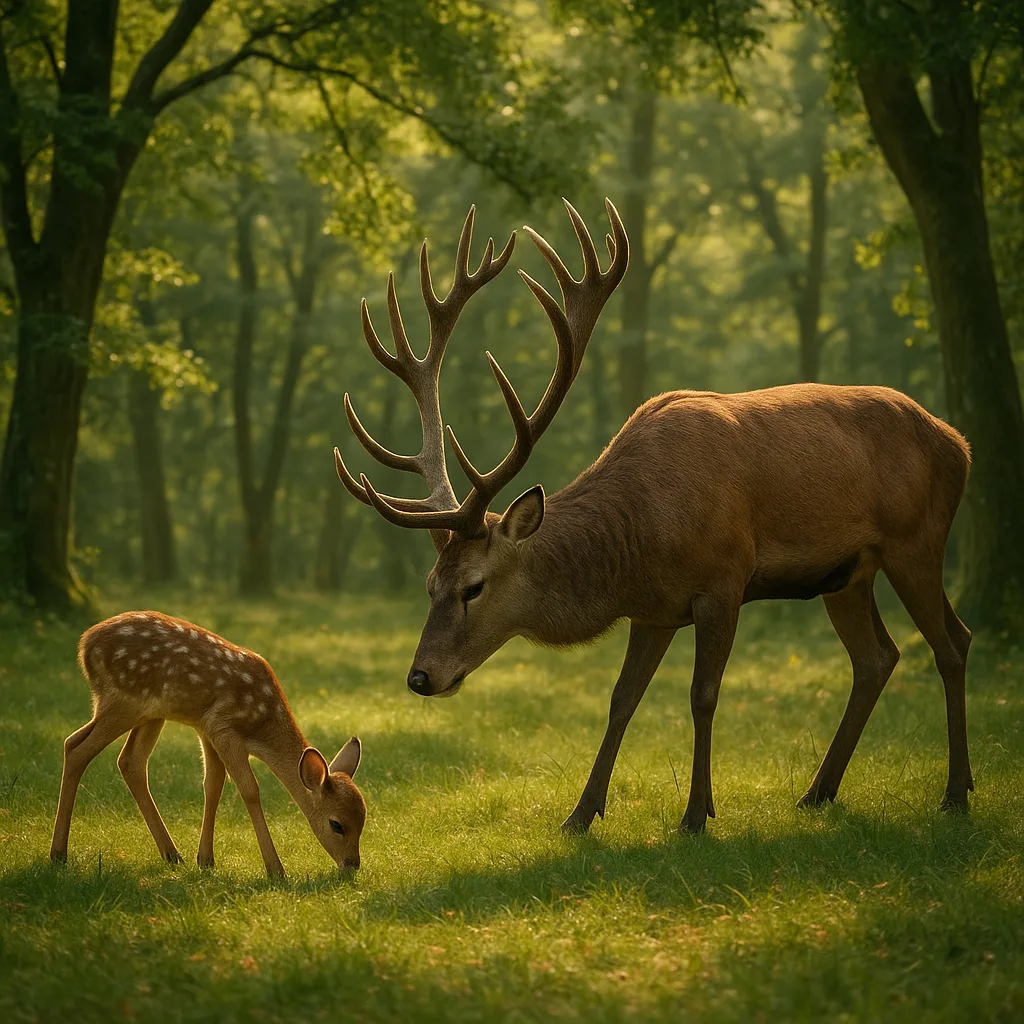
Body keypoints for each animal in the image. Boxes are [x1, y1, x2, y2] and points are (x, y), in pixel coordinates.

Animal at [50, 611, 365, 876]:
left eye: (363, 819)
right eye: (336, 824)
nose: (352, 866)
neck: (262, 725)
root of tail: (85, 644)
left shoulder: (206, 728)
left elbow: (213, 785)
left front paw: (205, 860)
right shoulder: (223, 727)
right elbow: (249, 789)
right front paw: (276, 869)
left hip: (151, 712)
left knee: (128, 761)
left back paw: (172, 854)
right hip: (123, 699)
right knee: (76, 747)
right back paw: (58, 854)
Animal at [333, 199, 973, 835]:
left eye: (474, 586)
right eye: (430, 584)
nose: (420, 677)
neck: (636, 545)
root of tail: (959, 443)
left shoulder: (725, 580)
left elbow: (703, 694)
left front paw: (696, 814)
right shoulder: (653, 609)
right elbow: (622, 698)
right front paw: (581, 814)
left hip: (918, 541)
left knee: (950, 645)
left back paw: (956, 792)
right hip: (846, 575)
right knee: (878, 657)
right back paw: (819, 791)